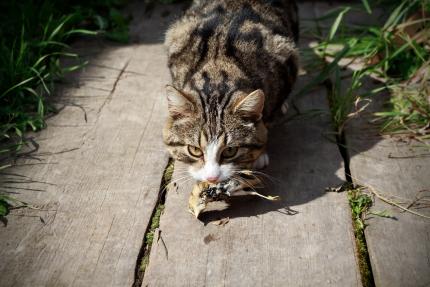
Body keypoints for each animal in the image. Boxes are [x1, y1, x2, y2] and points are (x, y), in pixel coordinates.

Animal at [163, 0, 298, 186]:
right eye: (194, 150)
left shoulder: (285, 59)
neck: (217, 72)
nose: (212, 178)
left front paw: (259, 155)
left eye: (230, 151)